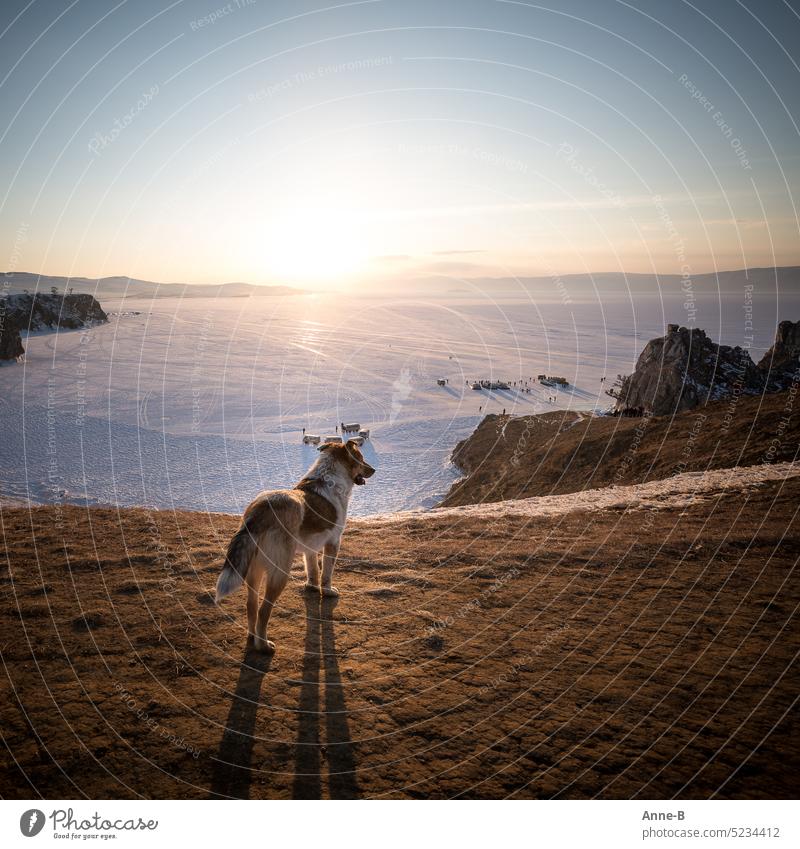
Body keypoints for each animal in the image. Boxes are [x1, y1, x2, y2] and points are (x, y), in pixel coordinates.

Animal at [212, 438, 376, 648]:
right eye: (361, 459)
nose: (374, 470)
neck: (328, 477)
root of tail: (260, 512)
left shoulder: (310, 547)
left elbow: (313, 570)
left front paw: (312, 587)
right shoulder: (333, 542)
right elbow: (326, 573)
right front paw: (327, 591)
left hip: (254, 569)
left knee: (251, 606)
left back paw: (252, 636)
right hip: (280, 571)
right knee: (264, 611)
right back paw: (263, 645)